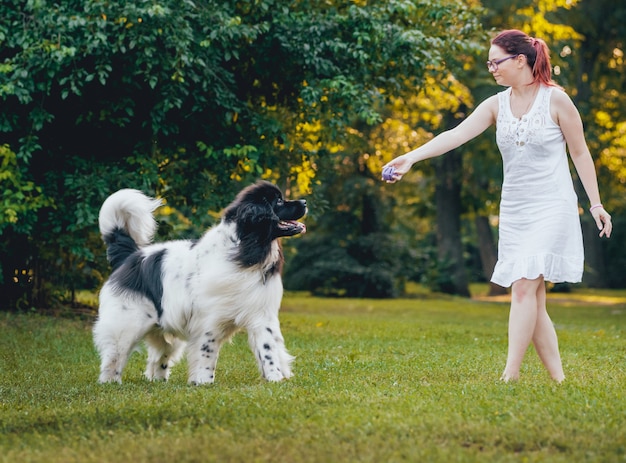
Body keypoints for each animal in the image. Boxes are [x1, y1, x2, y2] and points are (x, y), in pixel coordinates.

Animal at [92, 180, 304, 384]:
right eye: (278, 201)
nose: (304, 202)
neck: (244, 249)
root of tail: (129, 257)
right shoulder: (209, 320)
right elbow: (207, 352)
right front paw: (203, 382)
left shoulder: (262, 315)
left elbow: (268, 350)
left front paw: (275, 378)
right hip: (125, 325)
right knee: (114, 356)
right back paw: (110, 382)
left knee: (158, 358)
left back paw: (159, 381)